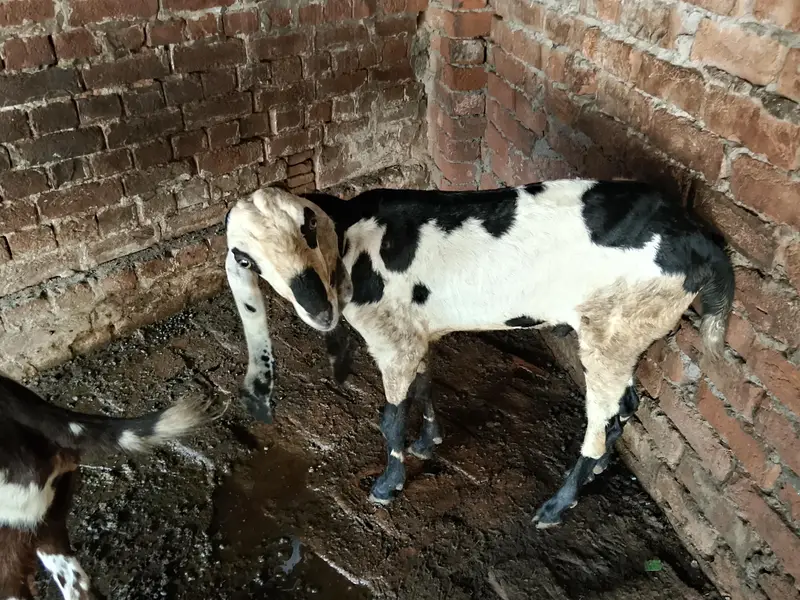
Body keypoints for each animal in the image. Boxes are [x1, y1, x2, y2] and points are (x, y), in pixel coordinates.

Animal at [224, 180, 734, 528]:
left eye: (309, 227)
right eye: (246, 260)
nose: (319, 310)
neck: (354, 244)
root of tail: (705, 244)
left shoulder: (392, 341)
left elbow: (390, 417)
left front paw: (388, 485)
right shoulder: (414, 331)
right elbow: (425, 384)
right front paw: (429, 441)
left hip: (612, 333)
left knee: (599, 422)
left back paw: (556, 506)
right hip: (627, 334)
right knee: (624, 407)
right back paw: (598, 471)